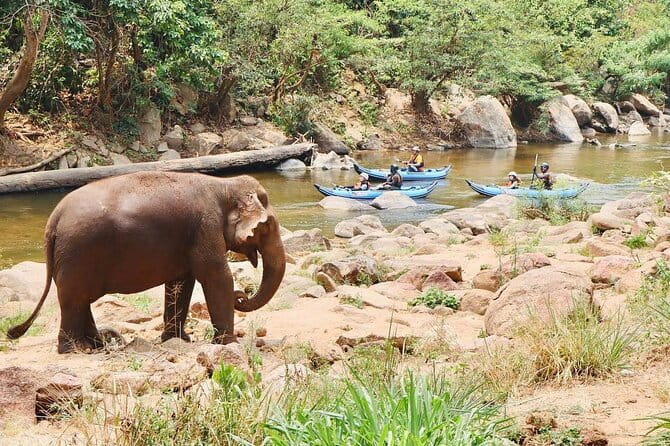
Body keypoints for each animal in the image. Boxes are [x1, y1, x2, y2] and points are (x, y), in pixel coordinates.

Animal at [7, 171, 286, 353]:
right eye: (267, 227)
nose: (242, 296)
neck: (225, 185)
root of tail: (53, 218)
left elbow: (181, 284)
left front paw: (178, 340)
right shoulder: (205, 228)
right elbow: (217, 278)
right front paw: (229, 344)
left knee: (79, 299)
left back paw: (96, 345)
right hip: (77, 252)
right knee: (73, 299)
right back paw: (75, 350)